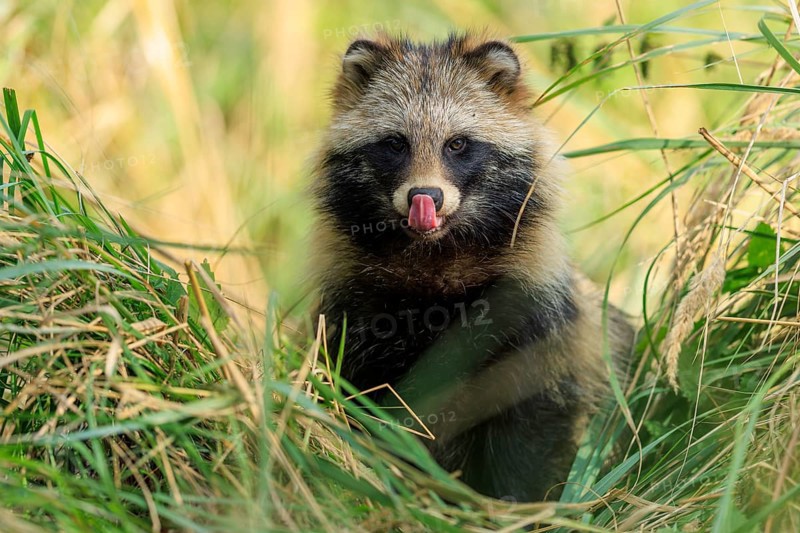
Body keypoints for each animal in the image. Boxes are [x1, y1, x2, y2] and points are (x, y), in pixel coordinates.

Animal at [311, 34, 634, 502]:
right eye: (395, 143)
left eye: (458, 144)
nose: (425, 196)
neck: (434, 256)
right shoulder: (356, 306)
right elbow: (360, 395)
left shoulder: (533, 315)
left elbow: (533, 422)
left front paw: (511, 501)